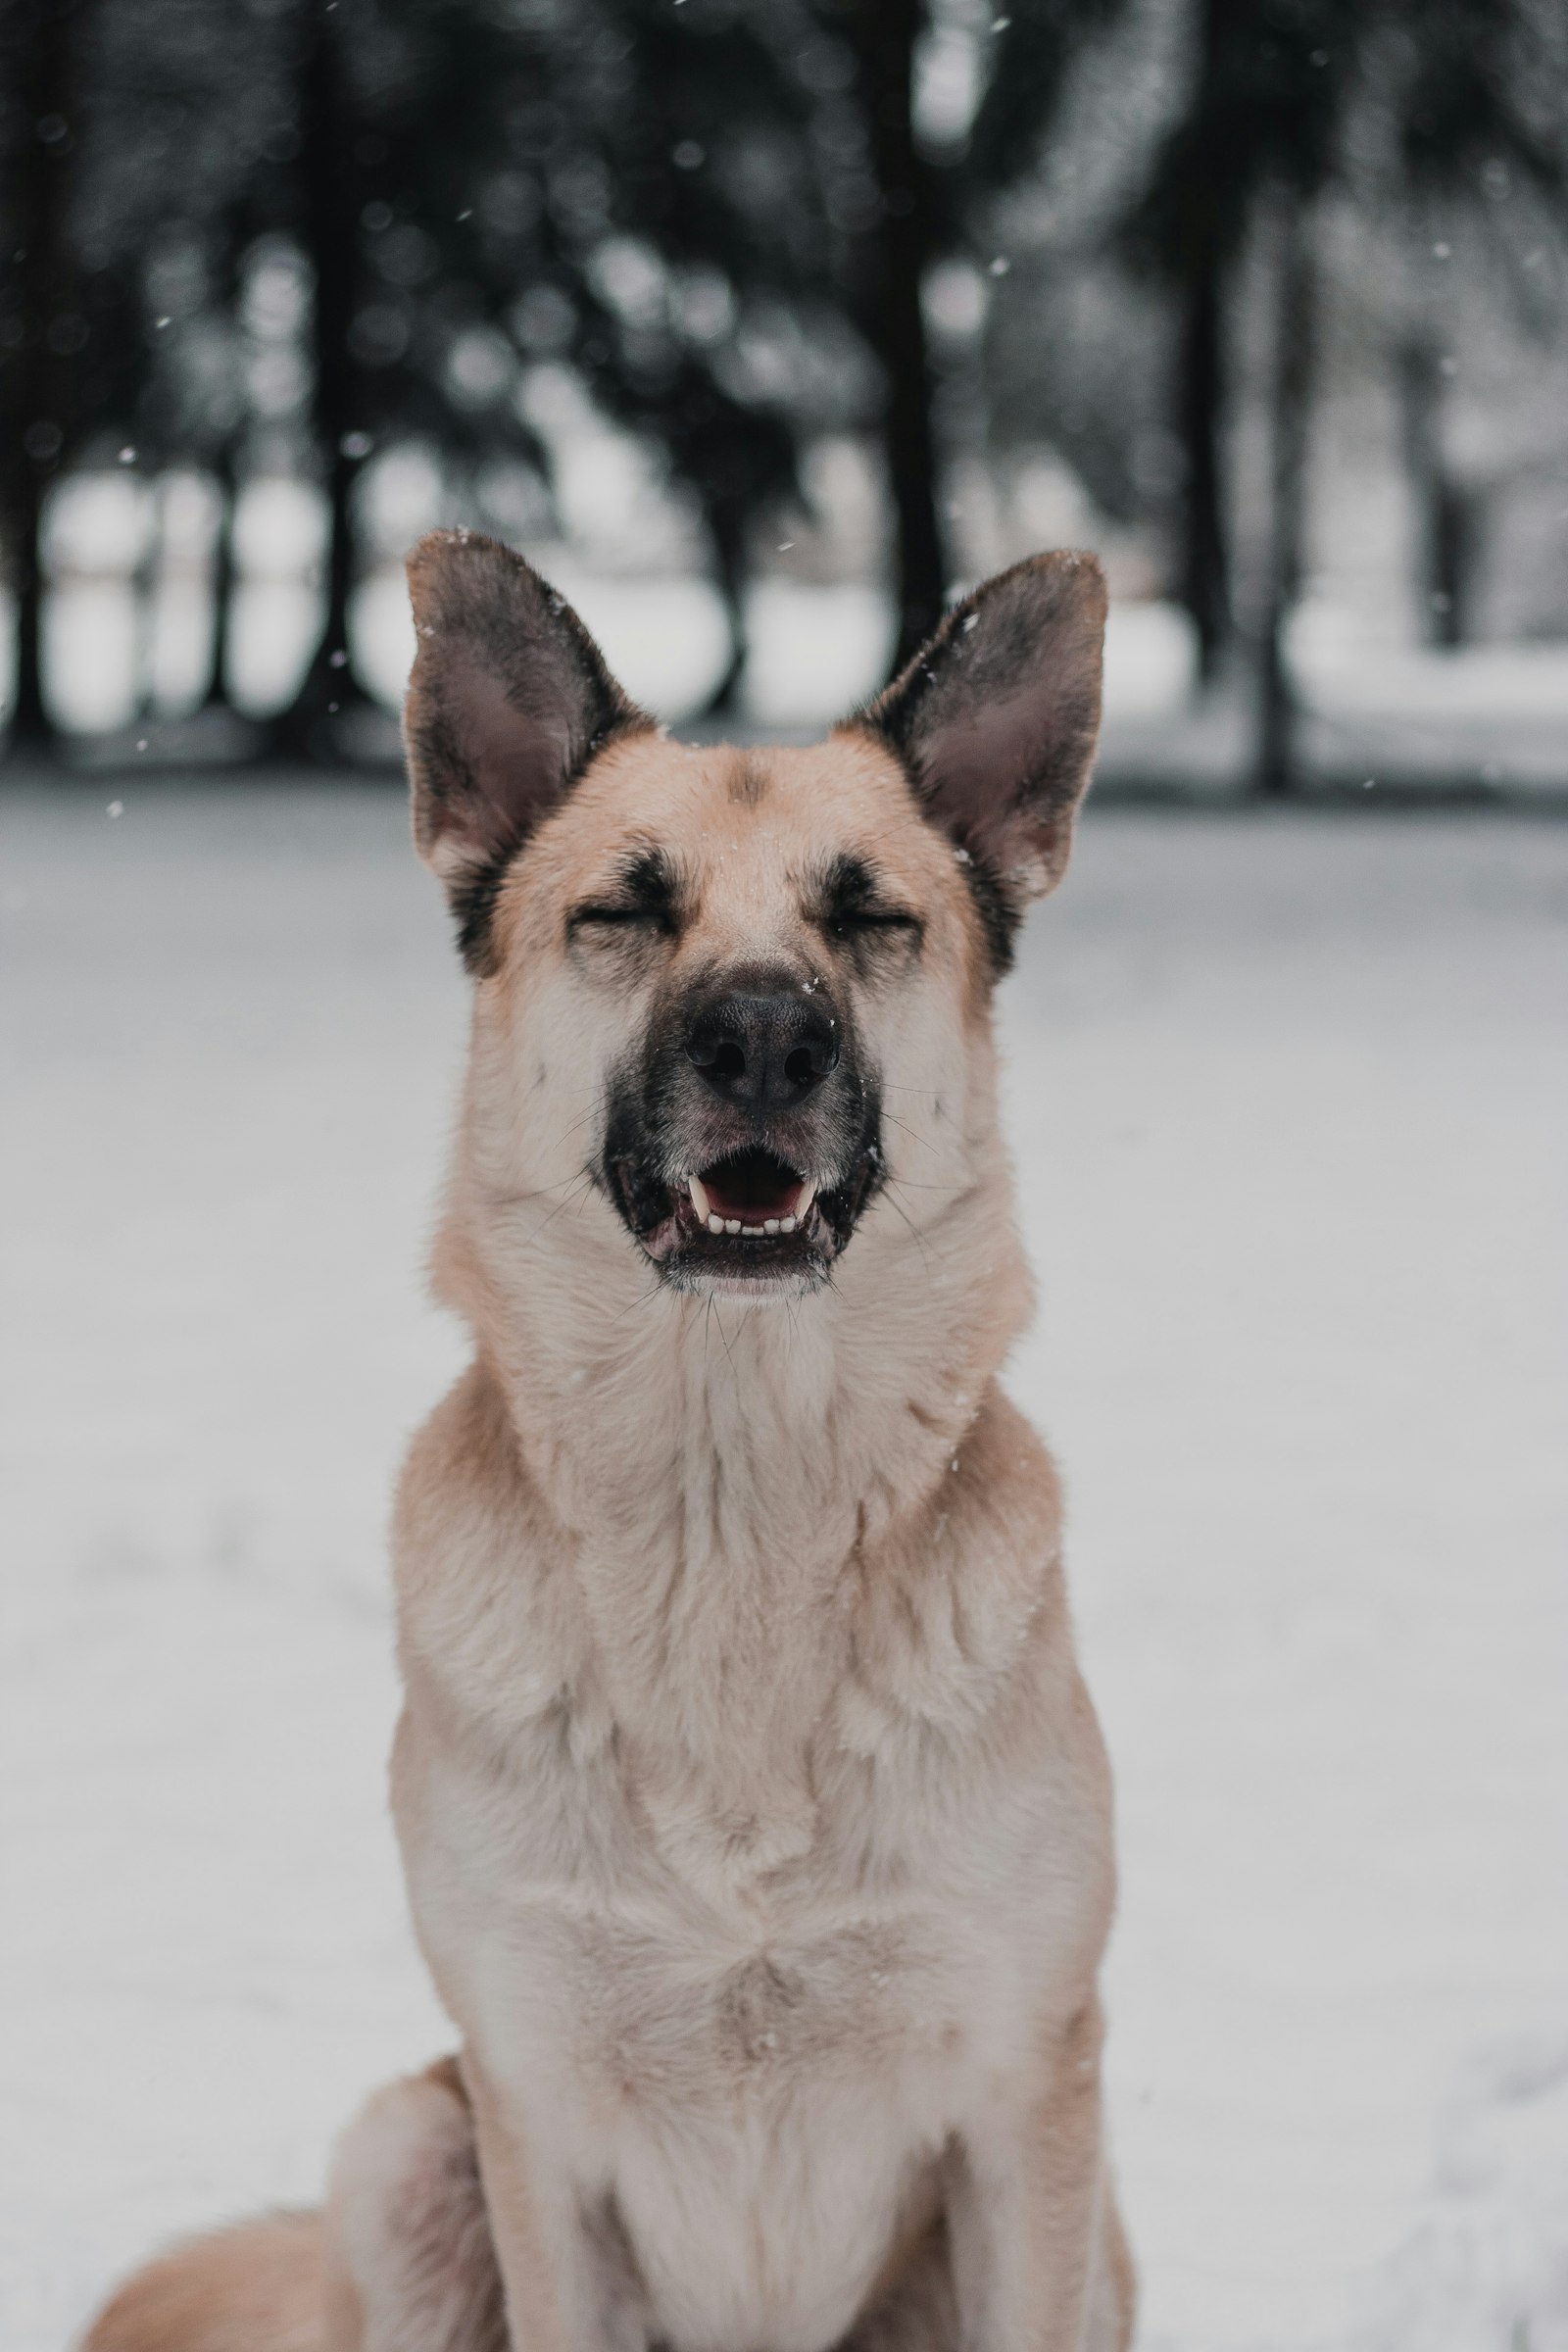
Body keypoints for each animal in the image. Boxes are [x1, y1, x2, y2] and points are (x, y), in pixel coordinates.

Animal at [85, 533, 1133, 2352]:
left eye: (870, 915)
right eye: (626, 913)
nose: (765, 1037)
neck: (730, 1507)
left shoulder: (1029, 2107)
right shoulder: (536, 2127)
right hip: (403, 2153)